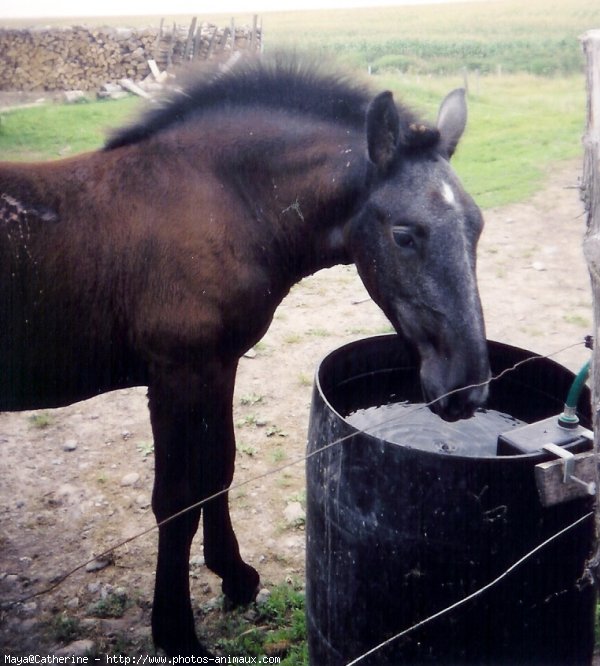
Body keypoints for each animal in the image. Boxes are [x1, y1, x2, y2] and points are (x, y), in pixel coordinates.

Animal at [0, 55, 488, 652]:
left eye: (477, 226)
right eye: (403, 234)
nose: (468, 388)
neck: (221, 203)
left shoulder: (219, 365)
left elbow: (220, 468)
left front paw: (233, 576)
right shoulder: (176, 374)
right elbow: (176, 501)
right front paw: (176, 632)